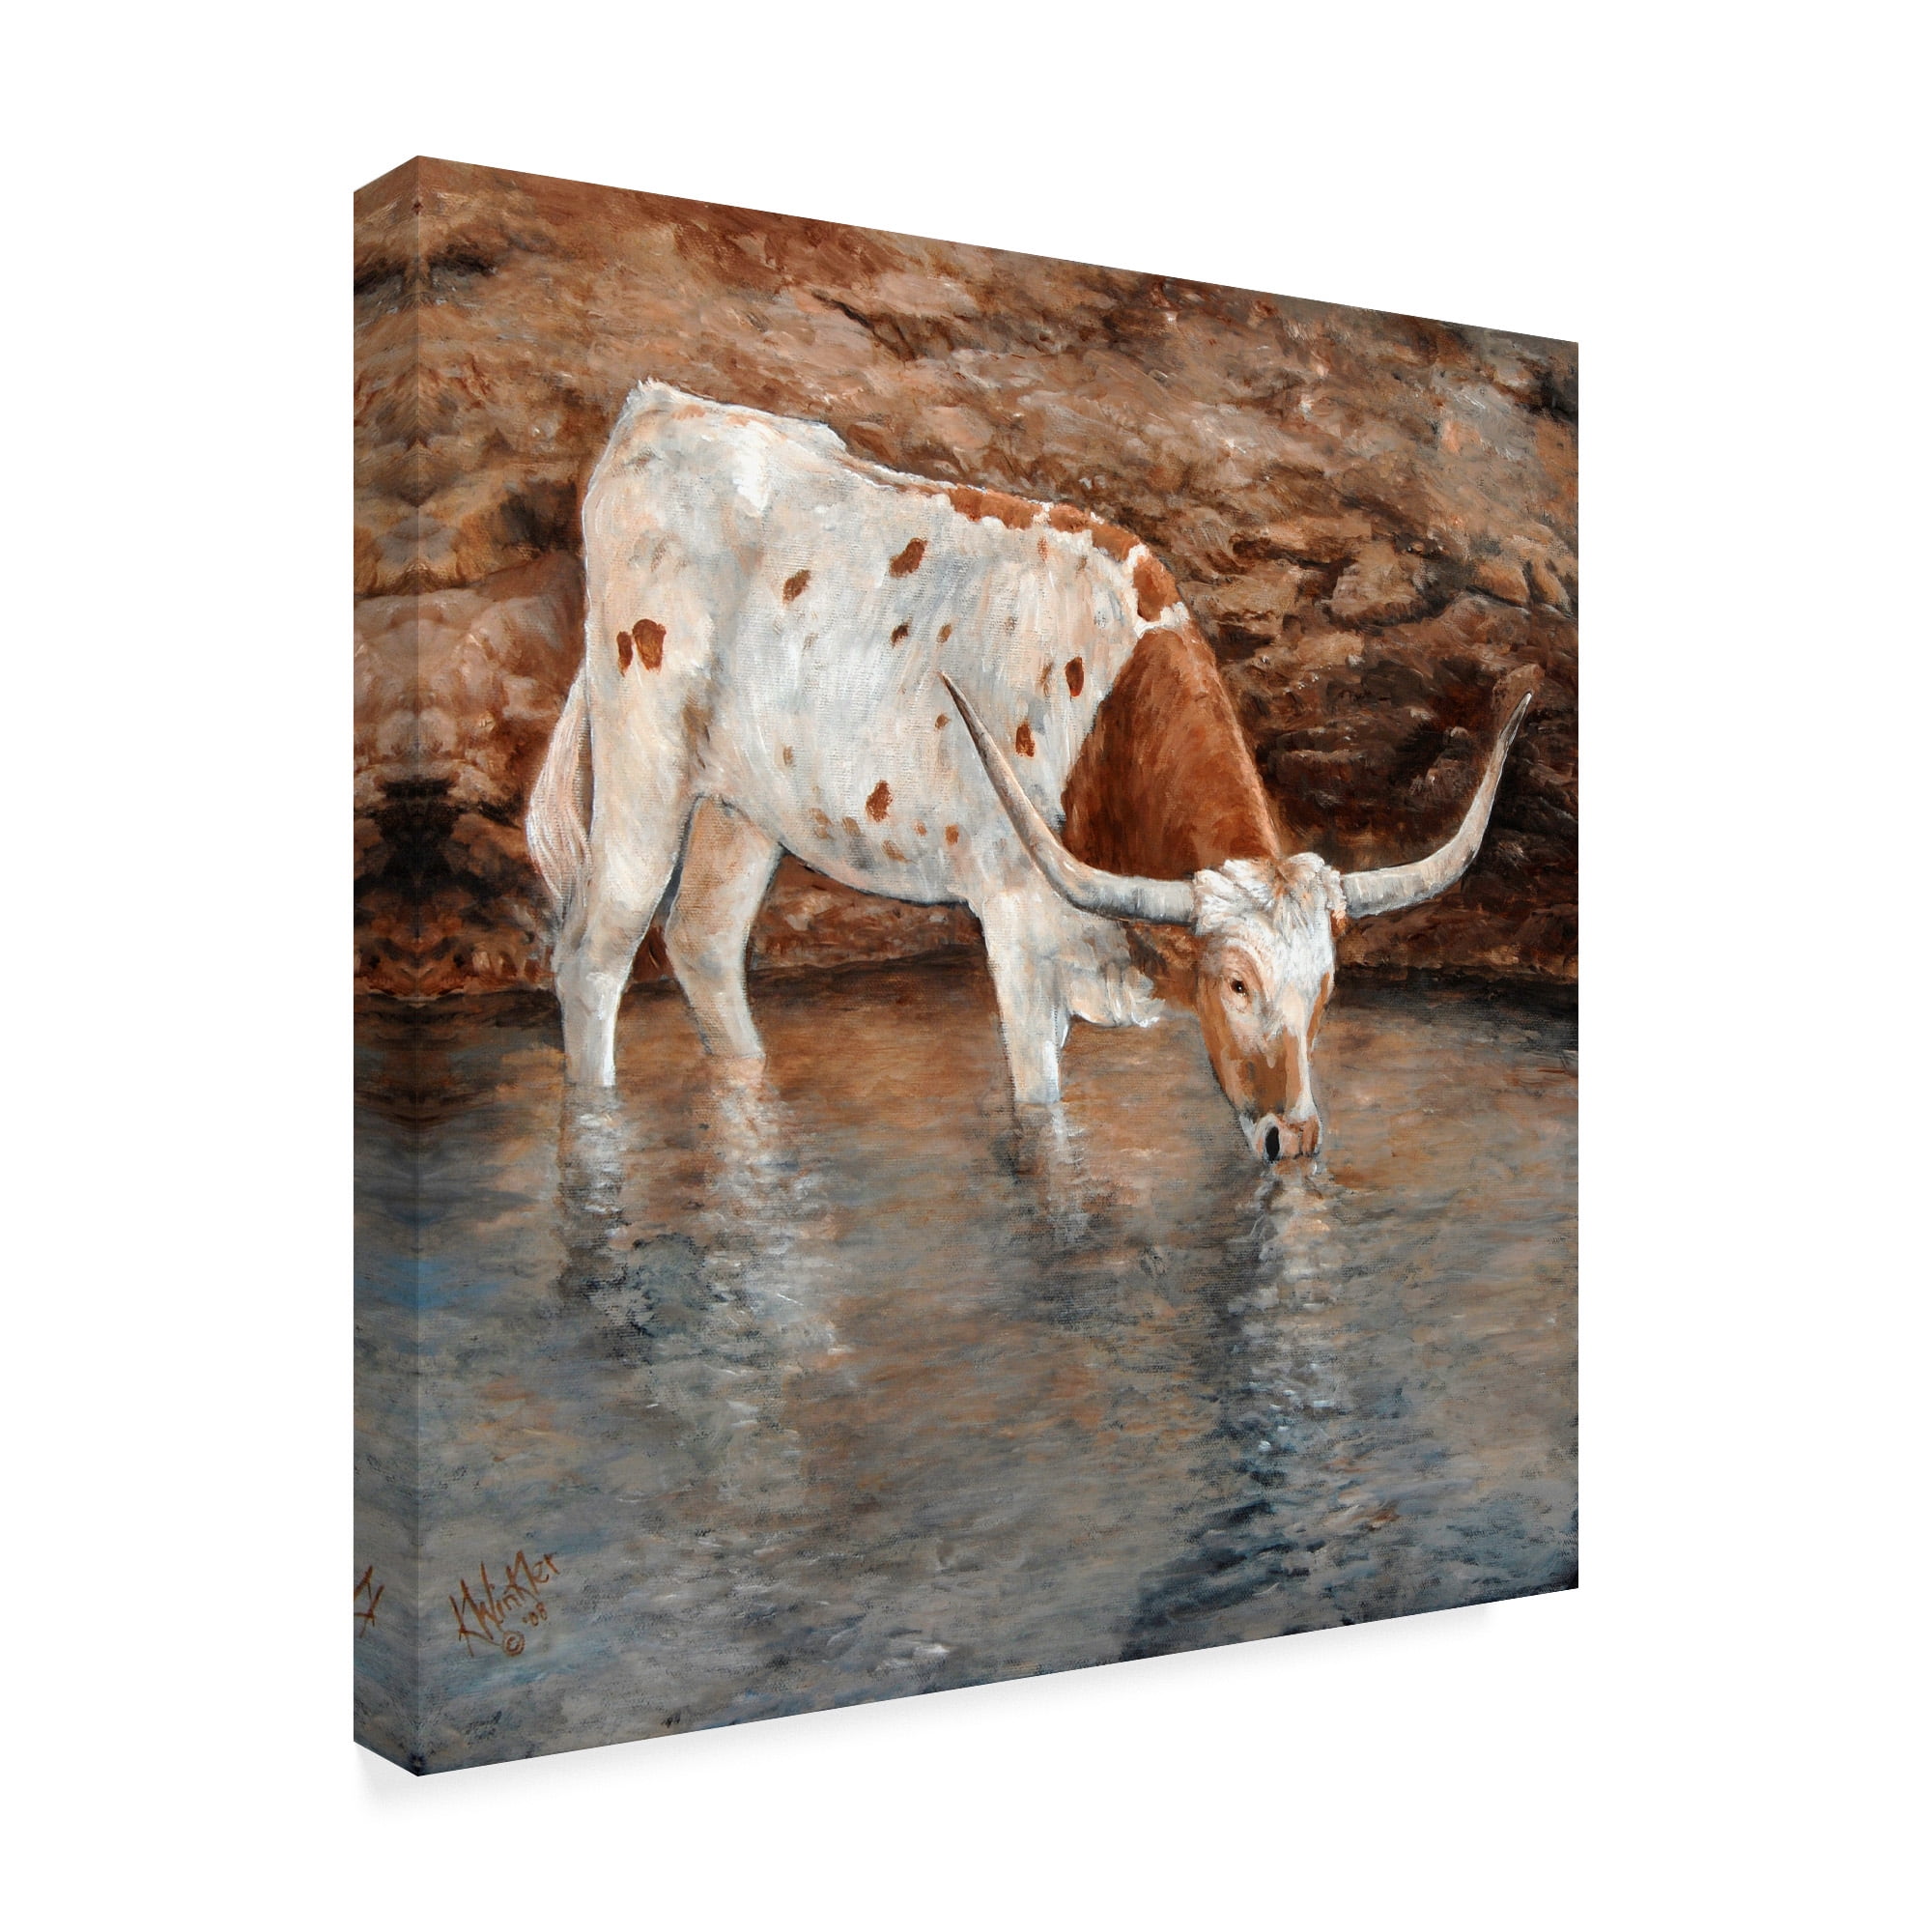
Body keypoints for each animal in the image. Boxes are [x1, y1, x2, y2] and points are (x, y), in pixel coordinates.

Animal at [526, 380, 1535, 1164]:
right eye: (1237, 985)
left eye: (1325, 988)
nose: (1294, 1138)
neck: (1108, 712)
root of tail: (657, 411)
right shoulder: (1014, 923)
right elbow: (1040, 1113)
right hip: (645, 769)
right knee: (594, 955)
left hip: (743, 807)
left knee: (702, 943)